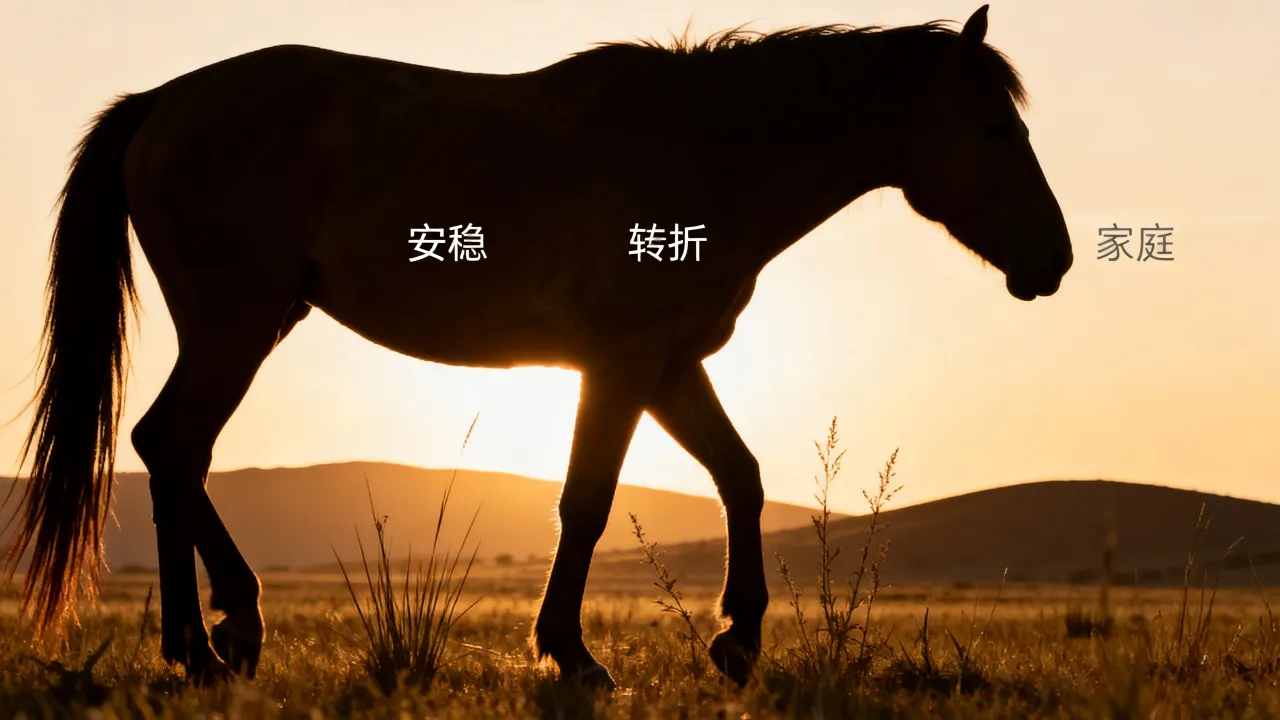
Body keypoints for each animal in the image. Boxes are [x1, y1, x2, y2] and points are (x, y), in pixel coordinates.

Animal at [5, 4, 1071, 689]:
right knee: (172, 447)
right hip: (235, 325)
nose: (1054, 260)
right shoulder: (620, 363)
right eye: (992, 127)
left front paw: (737, 641)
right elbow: (586, 502)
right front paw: (574, 653)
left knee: (170, 452)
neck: (704, 150)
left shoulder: (669, 365)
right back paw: (218, 631)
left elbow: (741, 477)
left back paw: (208, 638)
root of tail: (161, 101)